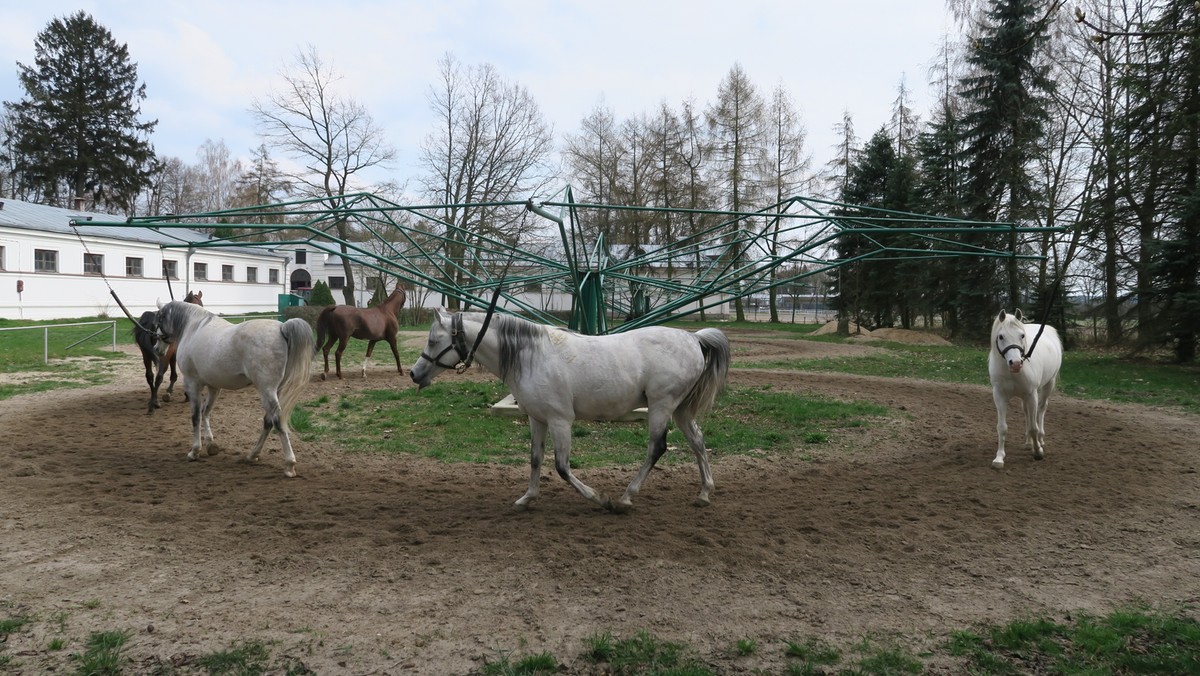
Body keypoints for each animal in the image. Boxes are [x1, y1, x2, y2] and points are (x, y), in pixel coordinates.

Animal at [153, 298, 314, 477]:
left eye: (158, 319)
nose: (156, 349)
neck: (193, 328)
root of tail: (282, 328)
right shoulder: (214, 386)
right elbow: (205, 412)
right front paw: (211, 445)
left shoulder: (192, 383)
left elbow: (196, 416)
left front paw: (194, 451)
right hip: (275, 390)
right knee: (268, 420)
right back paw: (252, 455)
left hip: (266, 390)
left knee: (277, 420)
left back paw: (289, 464)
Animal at [410, 312, 729, 513]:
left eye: (433, 341)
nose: (414, 373)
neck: (532, 355)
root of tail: (694, 339)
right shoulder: (537, 419)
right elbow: (535, 459)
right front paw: (527, 498)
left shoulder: (560, 420)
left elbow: (562, 467)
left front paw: (600, 499)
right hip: (680, 410)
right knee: (698, 441)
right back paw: (704, 493)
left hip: (662, 406)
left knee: (657, 448)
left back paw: (626, 498)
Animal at [988, 309, 1065, 468]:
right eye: (1001, 336)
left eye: (1022, 335)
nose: (1016, 364)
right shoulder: (999, 396)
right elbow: (1002, 427)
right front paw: (999, 458)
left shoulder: (1031, 395)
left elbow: (1033, 427)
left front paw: (1038, 452)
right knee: (1027, 414)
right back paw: (1029, 442)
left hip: (1048, 385)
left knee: (1041, 410)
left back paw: (1040, 440)